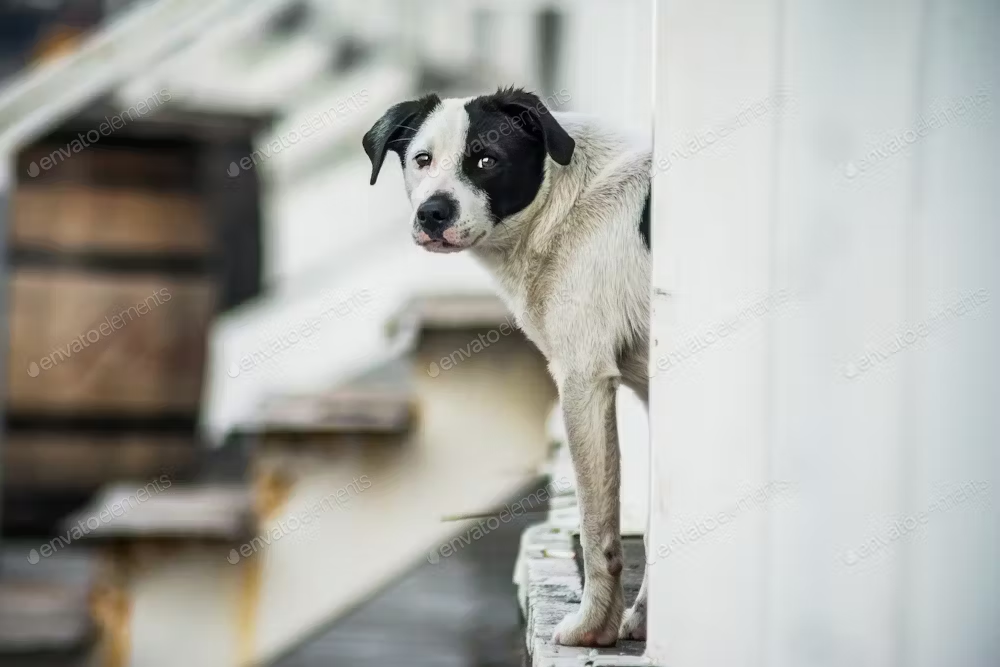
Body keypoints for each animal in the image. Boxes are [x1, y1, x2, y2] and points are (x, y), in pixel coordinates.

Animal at [364, 87, 652, 648]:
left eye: (485, 161)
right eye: (422, 160)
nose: (432, 213)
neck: (563, 205)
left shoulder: (584, 378)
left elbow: (597, 527)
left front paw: (593, 628)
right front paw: (642, 618)